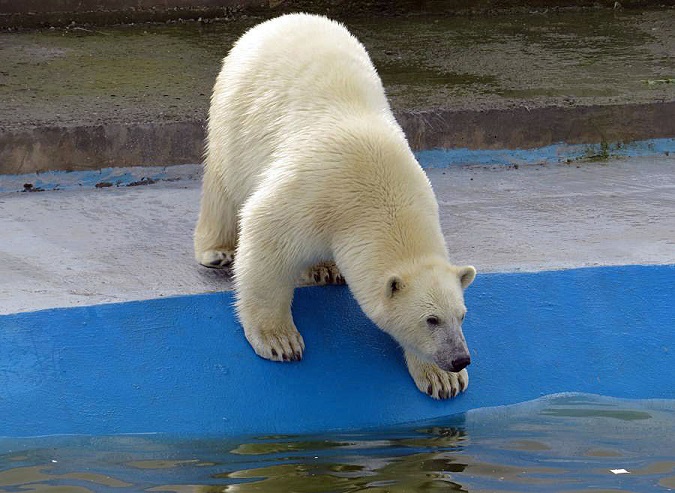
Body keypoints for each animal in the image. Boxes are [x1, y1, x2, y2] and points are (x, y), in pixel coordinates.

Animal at [193, 13, 478, 398]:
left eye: (461, 315)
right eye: (430, 319)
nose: (460, 359)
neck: (380, 193)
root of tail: (278, 20)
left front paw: (442, 379)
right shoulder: (312, 192)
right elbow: (266, 237)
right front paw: (279, 340)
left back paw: (325, 268)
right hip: (236, 115)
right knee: (222, 185)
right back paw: (217, 251)